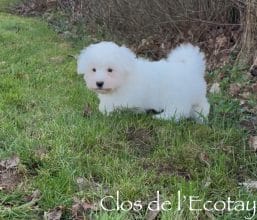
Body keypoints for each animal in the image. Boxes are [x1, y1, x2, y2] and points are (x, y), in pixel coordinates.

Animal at [77, 41, 209, 122]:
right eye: (93, 70)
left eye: (110, 70)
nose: (99, 83)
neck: (124, 79)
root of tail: (192, 68)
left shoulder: (126, 99)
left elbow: (114, 106)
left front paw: (108, 112)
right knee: (204, 105)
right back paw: (200, 117)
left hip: (176, 97)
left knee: (178, 112)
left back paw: (161, 117)